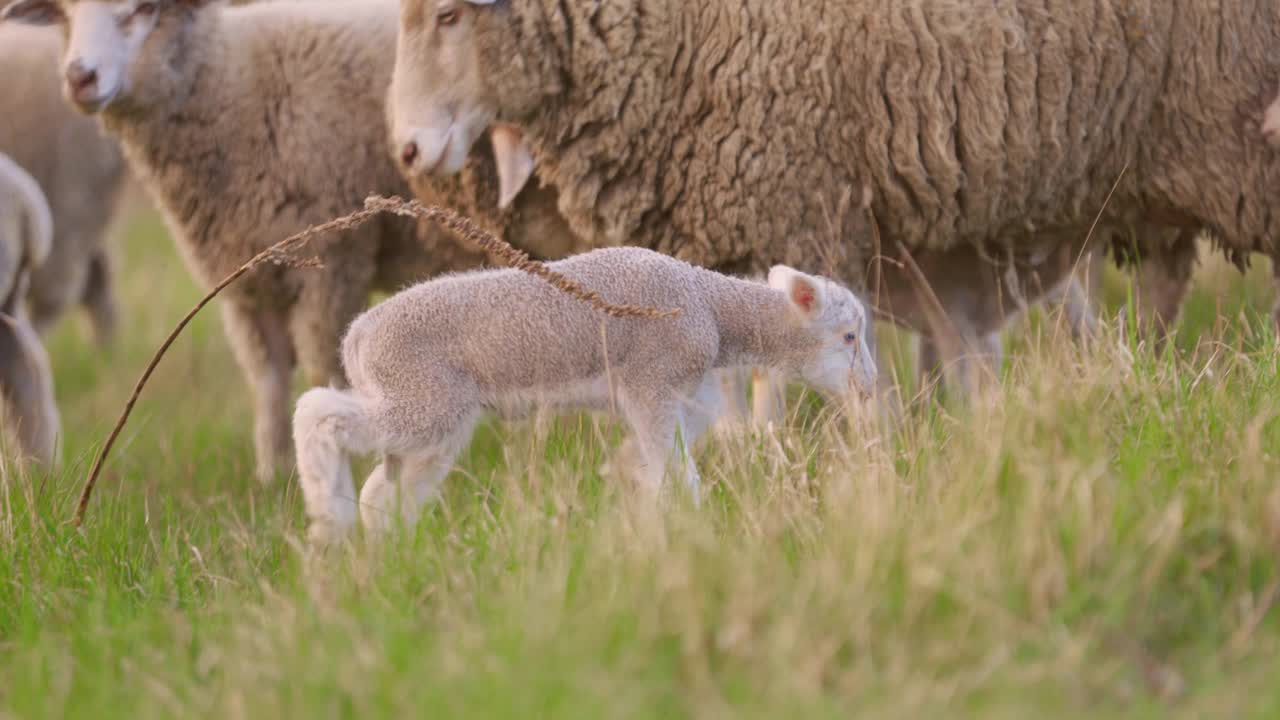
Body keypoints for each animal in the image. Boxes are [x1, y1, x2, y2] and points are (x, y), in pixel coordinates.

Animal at [291, 245, 875, 543]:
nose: (868, 388)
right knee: (315, 412)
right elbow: (675, 474)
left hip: (436, 419)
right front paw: (692, 534)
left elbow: (661, 462)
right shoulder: (651, 384)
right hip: (419, 398)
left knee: (385, 493)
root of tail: (356, 339)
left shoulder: (682, 393)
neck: (712, 306)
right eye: (848, 336)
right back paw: (327, 516)